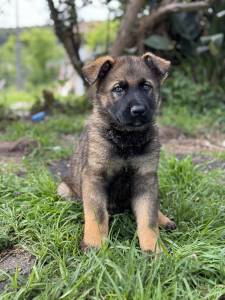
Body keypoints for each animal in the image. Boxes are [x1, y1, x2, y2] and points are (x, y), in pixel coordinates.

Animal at [57, 52, 176, 252]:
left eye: (146, 86)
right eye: (118, 88)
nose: (138, 110)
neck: (127, 139)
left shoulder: (145, 178)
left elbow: (148, 217)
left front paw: (153, 248)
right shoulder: (95, 178)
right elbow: (97, 215)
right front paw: (95, 244)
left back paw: (164, 219)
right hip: (64, 190)